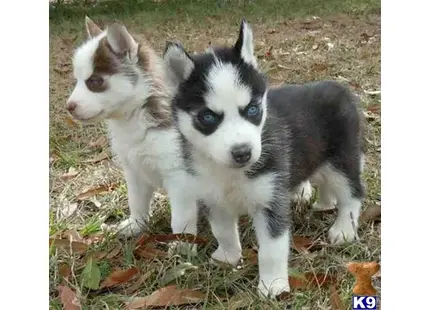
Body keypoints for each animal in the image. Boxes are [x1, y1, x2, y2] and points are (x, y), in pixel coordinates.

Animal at [163, 20, 364, 298]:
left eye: (252, 110)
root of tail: (338, 87)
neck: (230, 174)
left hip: (341, 160)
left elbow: (271, 251)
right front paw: (228, 257)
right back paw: (324, 203)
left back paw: (343, 229)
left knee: (352, 193)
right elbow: (222, 231)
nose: (243, 153)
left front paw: (273, 286)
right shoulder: (213, 197)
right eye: (208, 117)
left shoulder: (271, 201)